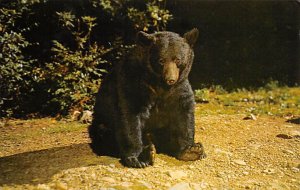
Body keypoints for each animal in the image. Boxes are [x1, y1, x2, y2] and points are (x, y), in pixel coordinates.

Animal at [89, 28, 206, 168]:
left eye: (177, 60)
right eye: (161, 60)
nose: (171, 79)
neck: (159, 83)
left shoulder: (179, 88)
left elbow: (184, 113)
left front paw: (190, 150)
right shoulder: (133, 80)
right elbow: (130, 115)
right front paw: (137, 159)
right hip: (102, 124)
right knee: (105, 133)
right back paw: (149, 151)